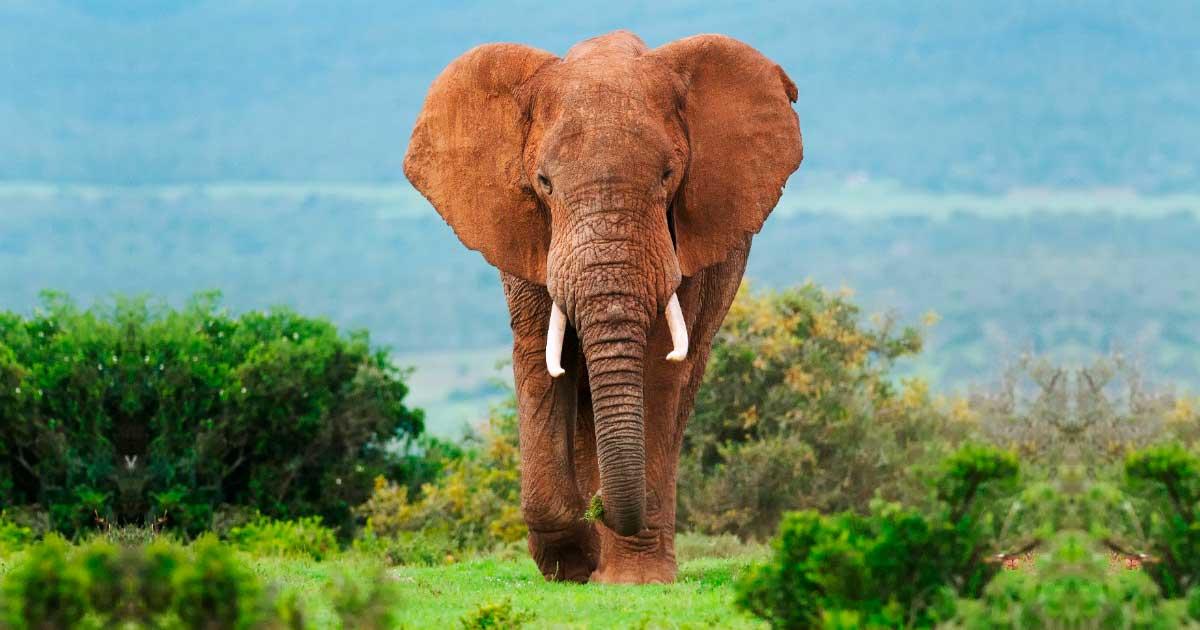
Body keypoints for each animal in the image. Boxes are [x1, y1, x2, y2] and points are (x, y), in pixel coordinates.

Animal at [403, 30, 802, 584]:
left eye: (668, 176)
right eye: (544, 182)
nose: (602, 510)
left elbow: (658, 365)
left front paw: (631, 578)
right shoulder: (529, 234)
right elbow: (541, 356)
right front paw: (573, 565)